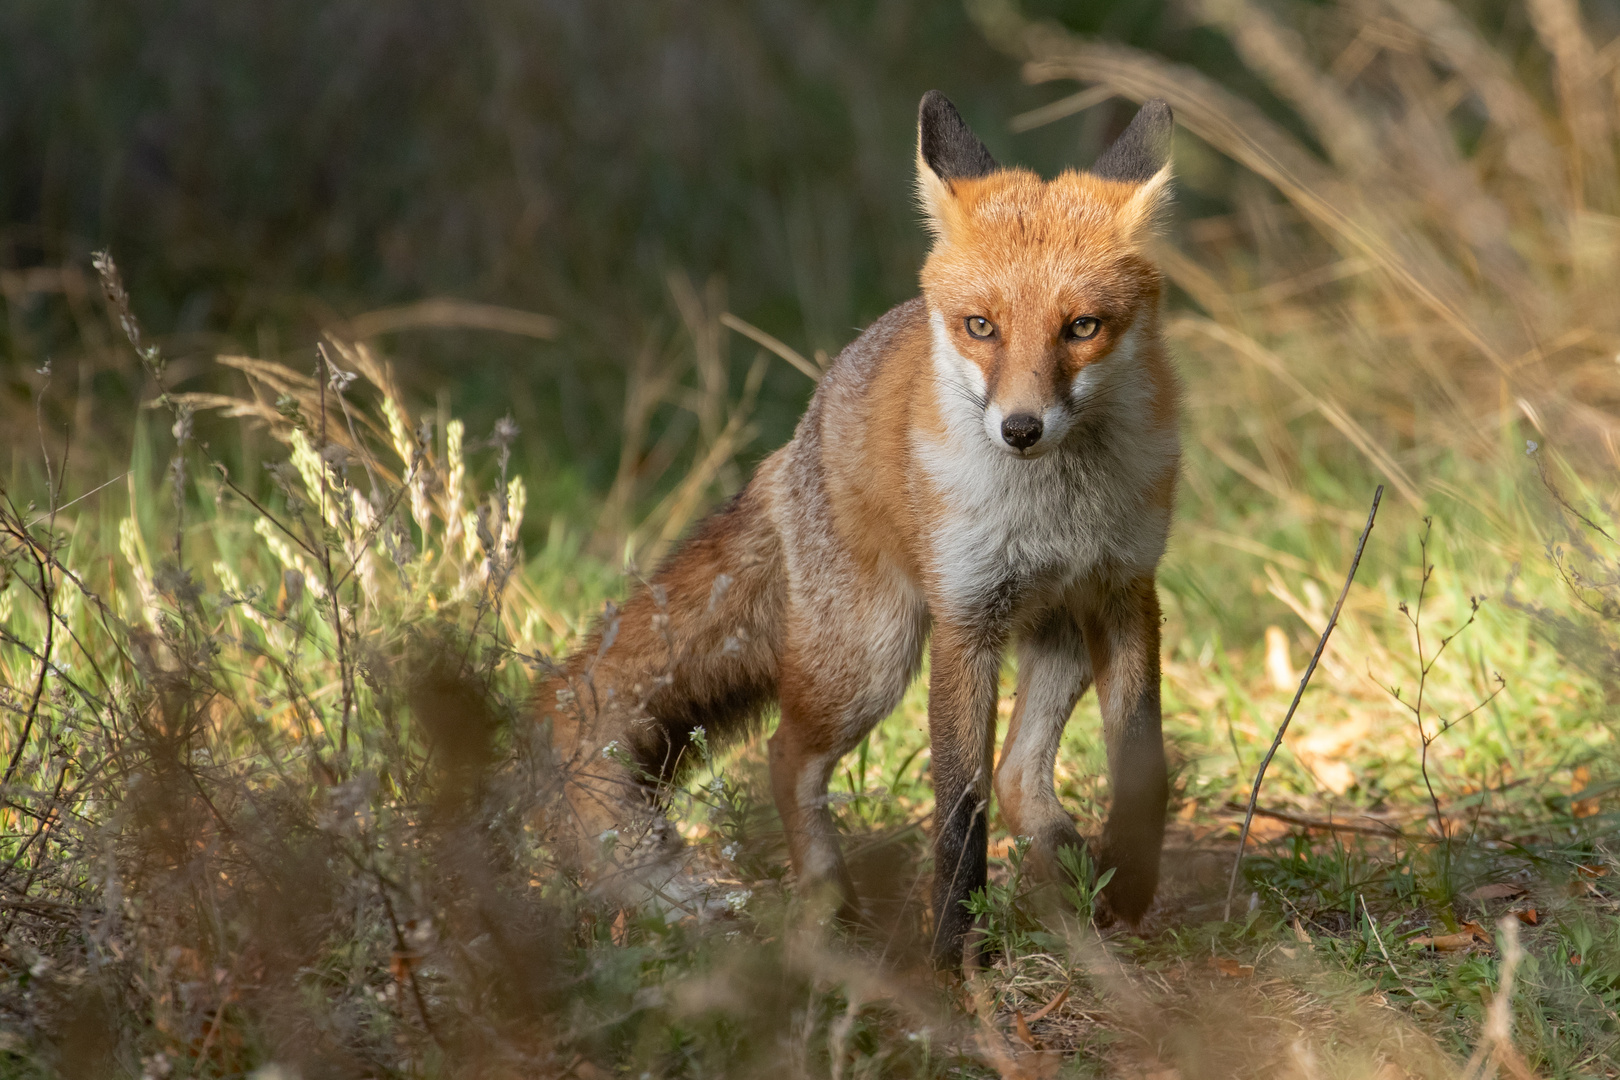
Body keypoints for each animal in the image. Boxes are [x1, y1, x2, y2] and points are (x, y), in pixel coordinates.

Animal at [544, 93, 1179, 965]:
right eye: (981, 326)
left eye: (1082, 327)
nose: (1020, 429)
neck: (1058, 507)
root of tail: (797, 439)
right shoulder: (964, 621)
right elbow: (958, 811)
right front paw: (953, 956)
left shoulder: (1126, 591)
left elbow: (1141, 764)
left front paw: (1132, 884)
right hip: (871, 660)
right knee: (786, 757)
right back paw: (831, 906)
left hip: (1057, 635)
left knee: (1019, 774)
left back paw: (1071, 863)